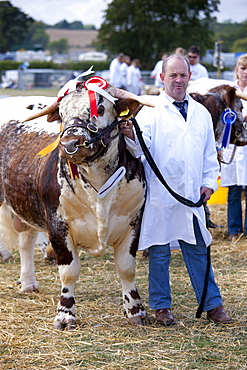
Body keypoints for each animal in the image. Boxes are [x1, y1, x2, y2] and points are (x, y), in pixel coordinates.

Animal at [0, 76, 154, 330]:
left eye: (99, 109)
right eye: (62, 114)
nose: (71, 143)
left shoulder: (134, 222)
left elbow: (126, 268)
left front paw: (136, 311)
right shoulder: (57, 225)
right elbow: (69, 271)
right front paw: (65, 315)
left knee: (26, 241)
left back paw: (28, 283)